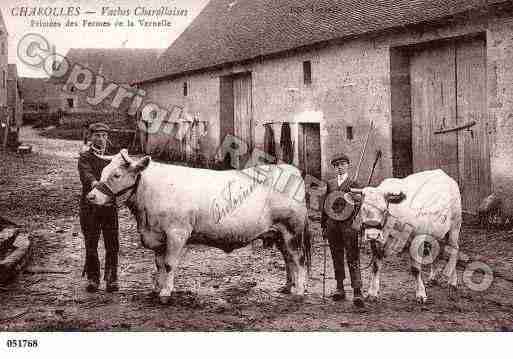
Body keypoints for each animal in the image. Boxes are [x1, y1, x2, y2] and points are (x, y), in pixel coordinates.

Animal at [86, 149, 310, 304]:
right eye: (103, 171)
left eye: (116, 175)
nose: (91, 196)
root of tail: (291, 170)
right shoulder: (157, 236)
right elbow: (159, 264)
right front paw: (156, 289)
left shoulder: (176, 233)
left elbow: (169, 264)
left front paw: (165, 293)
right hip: (279, 233)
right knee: (288, 259)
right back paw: (287, 287)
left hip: (292, 231)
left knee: (297, 259)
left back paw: (299, 291)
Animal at [344, 171, 460, 304]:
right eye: (363, 209)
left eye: (384, 210)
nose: (372, 235)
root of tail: (444, 174)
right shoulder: (377, 243)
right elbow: (375, 267)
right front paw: (372, 293)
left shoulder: (416, 240)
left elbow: (415, 269)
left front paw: (421, 294)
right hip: (434, 232)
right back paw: (433, 278)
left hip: (455, 227)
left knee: (454, 250)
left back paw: (452, 282)